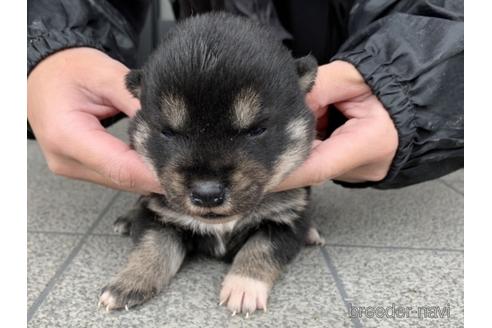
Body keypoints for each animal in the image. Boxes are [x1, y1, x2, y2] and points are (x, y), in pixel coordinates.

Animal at [98, 12, 324, 316]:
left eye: (255, 130)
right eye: (168, 132)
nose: (207, 194)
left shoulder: (286, 218)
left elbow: (261, 248)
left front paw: (244, 287)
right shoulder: (159, 214)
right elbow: (152, 246)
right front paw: (128, 282)